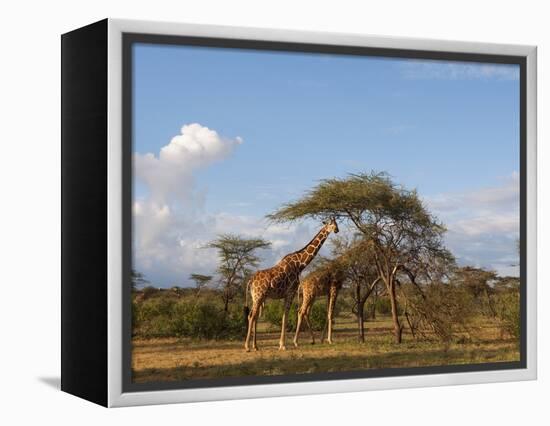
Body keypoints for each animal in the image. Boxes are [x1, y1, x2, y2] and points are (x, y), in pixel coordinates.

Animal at [247, 218, 340, 352]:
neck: (300, 264)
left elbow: (284, 316)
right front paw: (284, 345)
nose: (337, 230)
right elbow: (286, 316)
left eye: (336, 223)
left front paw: (282, 344)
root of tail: (251, 280)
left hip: (257, 297)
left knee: (253, 316)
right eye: (331, 224)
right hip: (259, 296)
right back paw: (247, 347)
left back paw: (255, 346)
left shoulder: (288, 294)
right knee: (251, 316)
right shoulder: (291, 292)